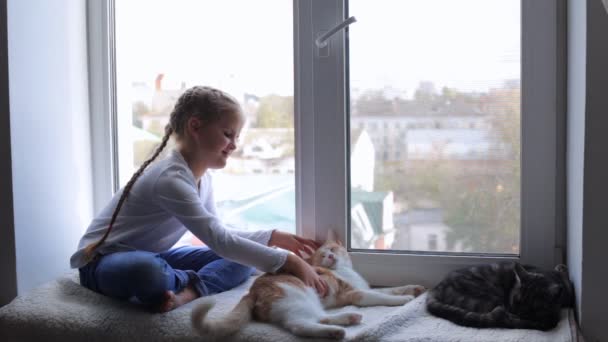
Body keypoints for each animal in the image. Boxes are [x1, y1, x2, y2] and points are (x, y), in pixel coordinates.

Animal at [192, 230, 426, 340]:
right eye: (322, 255)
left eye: (332, 249)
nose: (329, 256)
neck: (345, 271)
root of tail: (251, 292)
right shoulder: (356, 294)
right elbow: (383, 296)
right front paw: (404, 299)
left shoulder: (363, 287)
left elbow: (389, 289)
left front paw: (413, 289)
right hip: (298, 297)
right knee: (299, 325)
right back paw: (336, 331)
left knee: (319, 317)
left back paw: (347, 319)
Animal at [426, 260, 572, 330]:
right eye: (516, 301)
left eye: (533, 308)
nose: (516, 312)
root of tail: (437, 287)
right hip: (489, 297)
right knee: (500, 319)